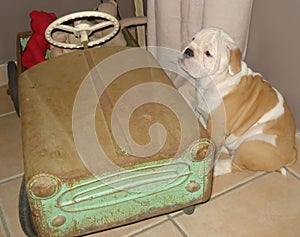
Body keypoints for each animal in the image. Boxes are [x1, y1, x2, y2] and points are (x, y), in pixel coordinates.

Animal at [179, 28, 296, 176]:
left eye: (208, 53)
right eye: (193, 38)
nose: (189, 51)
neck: (215, 81)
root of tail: (292, 152)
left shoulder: (217, 128)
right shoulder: (201, 114)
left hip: (252, 146)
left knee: (236, 164)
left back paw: (218, 167)